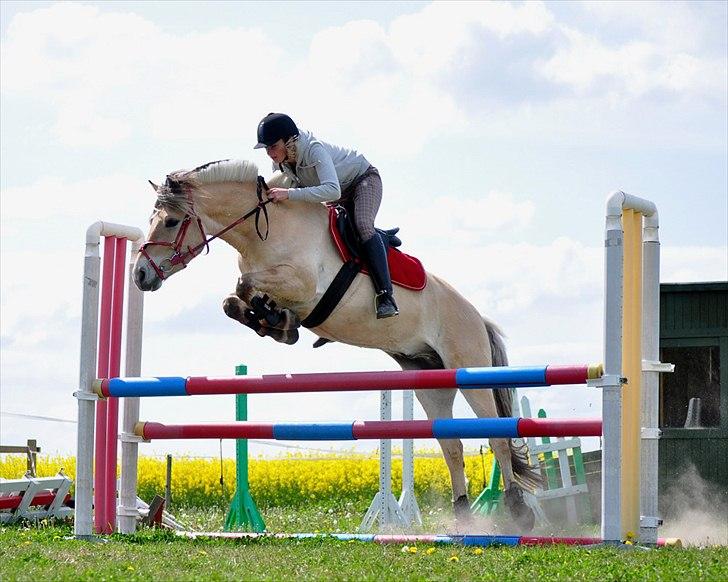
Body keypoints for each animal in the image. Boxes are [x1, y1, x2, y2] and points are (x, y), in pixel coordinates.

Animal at [132, 159, 540, 528]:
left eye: (170, 222)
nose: (140, 275)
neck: (265, 231)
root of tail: (477, 317)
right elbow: (234, 299)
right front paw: (274, 321)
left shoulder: (303, 285)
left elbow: (245, 285)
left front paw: (277, 321)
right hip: (428, 378)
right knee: (451, 444)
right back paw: (463, 518)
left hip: (468, 369)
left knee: (497, 436)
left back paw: (518, 512)